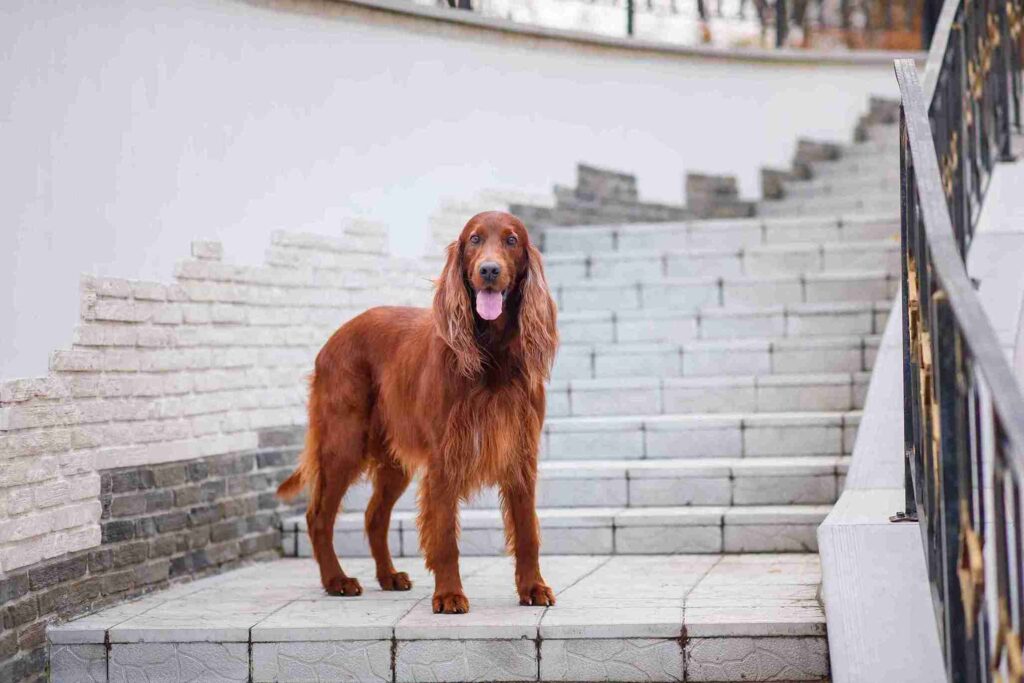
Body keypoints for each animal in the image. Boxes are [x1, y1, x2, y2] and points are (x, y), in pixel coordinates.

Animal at [276, 209, 557, 614]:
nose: (489, 270)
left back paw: (388, 576)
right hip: (343, 443)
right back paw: (337, 580)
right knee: (318, 517)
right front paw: (449, 595)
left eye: (511, 240)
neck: (491, 353)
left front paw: (532, 587)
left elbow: (526, 532)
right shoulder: (445, 457)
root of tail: (334, 339)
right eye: (474, 239)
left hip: (394, 462)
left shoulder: (520, 452)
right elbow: (444, 535)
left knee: (374, 516)